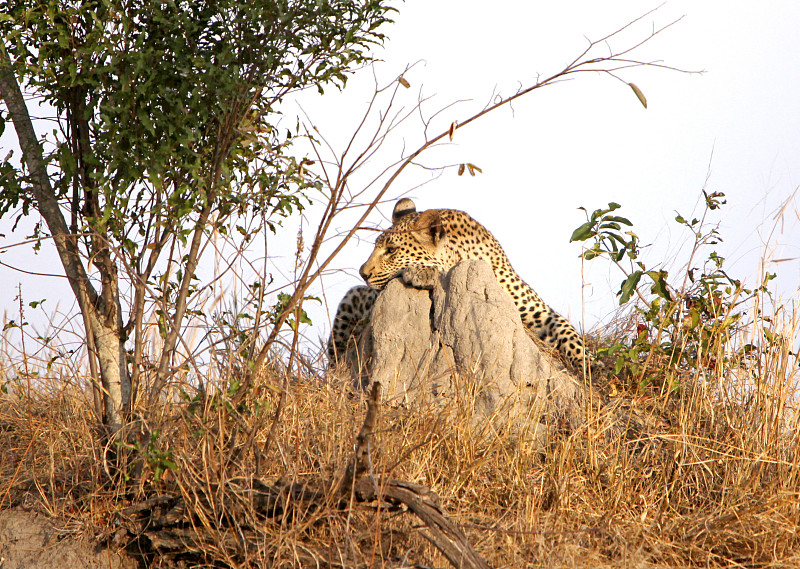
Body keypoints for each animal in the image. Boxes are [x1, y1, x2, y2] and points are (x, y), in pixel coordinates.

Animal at [326, 200, 592, 372]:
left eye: (391, 250)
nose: (363, 273)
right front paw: (423, 272)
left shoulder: (538, 312)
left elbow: (569, 333)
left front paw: (590, 365)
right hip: (351, 303)